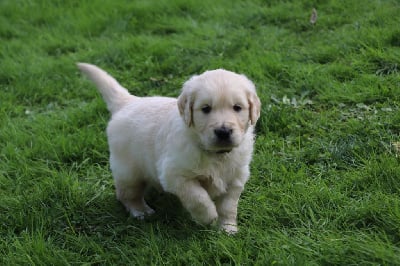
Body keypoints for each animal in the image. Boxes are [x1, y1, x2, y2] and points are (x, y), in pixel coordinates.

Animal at [77, 62, 262, 233]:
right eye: (206, 109)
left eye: (237, 108)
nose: (223, 132)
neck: (216, 155)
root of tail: (129, 102)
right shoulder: (175, 174)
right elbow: (198, 197)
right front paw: (208, 217)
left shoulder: (236, 176)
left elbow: (228, 205)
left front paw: (227, 228)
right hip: (128, 171)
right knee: (127, 194)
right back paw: (141, 211)